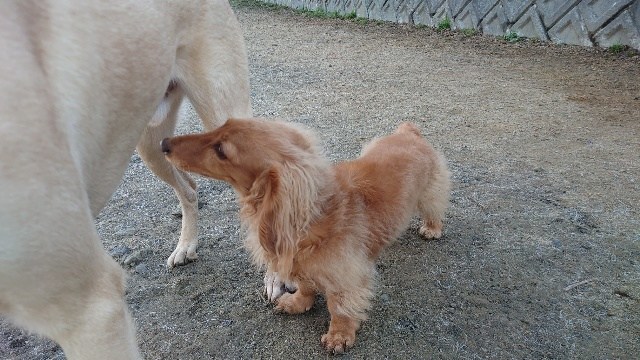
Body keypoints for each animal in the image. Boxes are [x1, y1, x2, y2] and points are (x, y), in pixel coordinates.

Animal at [161, 118, 450, 352]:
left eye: (221, 150)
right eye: (221, 125)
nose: (164, 143)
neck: (314, 215)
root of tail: (409, 133)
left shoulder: (348, 276)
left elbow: (340, 307)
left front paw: (339, 336)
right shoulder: (300, 264)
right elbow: (306, 286)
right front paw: (297, 302)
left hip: (430, 194)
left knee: (434, 209)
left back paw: (432, 229)